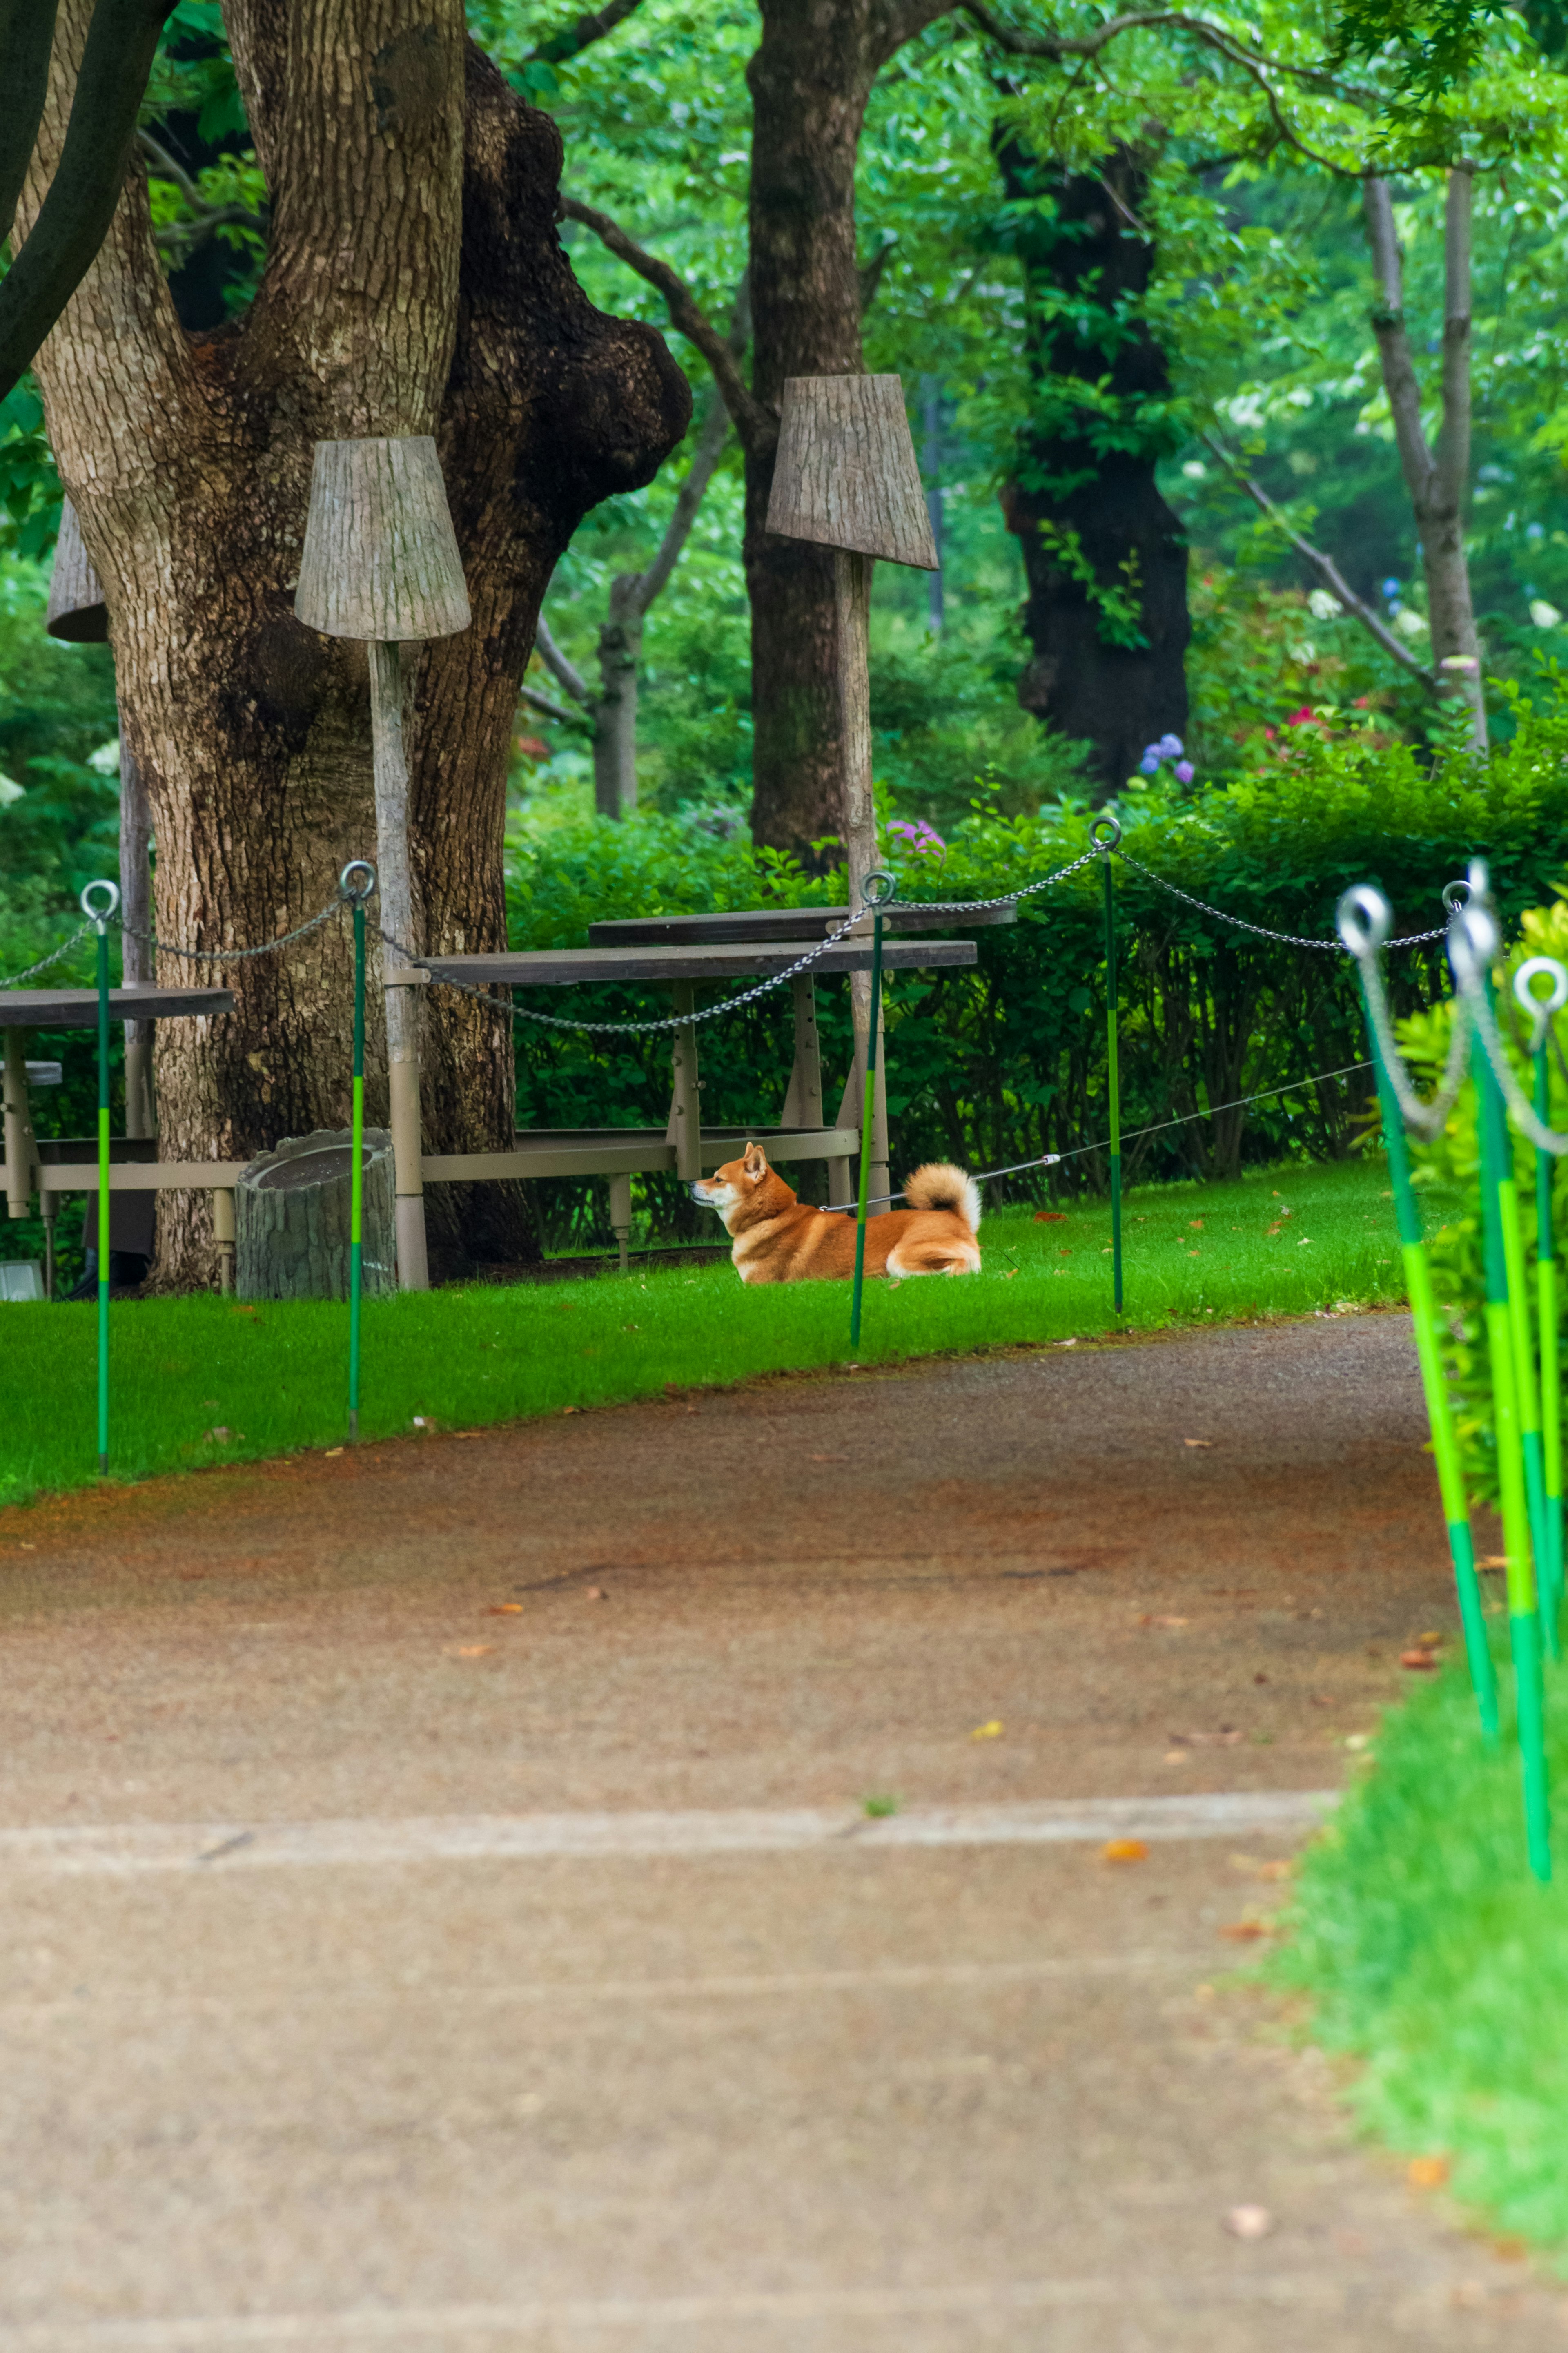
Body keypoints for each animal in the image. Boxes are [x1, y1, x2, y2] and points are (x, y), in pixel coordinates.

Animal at [691, 1143, 982, 1280]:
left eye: (718, 1179)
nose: (689, 1184)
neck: (772, 1217)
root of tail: (955, 1218)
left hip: (899, 1257)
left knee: (958, 1268)